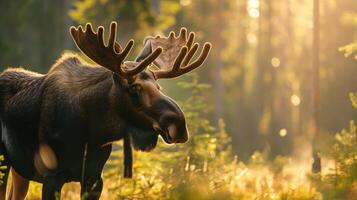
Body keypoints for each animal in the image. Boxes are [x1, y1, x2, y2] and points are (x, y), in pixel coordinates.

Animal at [0, 21, 211, 198]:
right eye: (134, 87)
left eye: (158, 87)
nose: (179, 125)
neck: (91, 133)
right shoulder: (52, 176)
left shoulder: (94, 177)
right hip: (4, 162)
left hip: (20, 170)